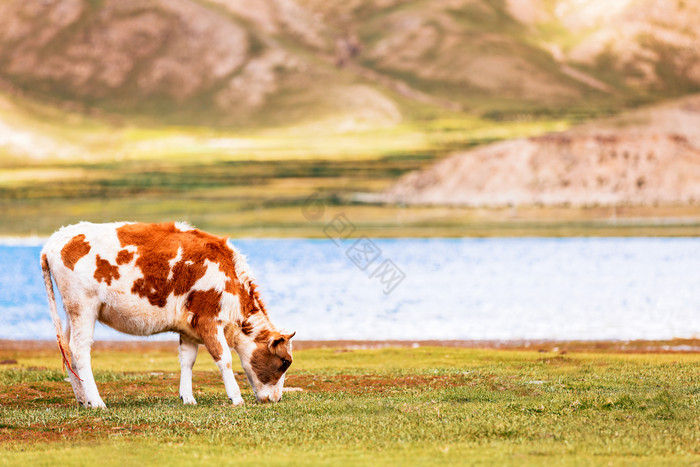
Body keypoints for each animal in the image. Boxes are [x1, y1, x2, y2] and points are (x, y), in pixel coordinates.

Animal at [41, 221, 292, 408]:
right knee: (80, 351)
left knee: (67, 349)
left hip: (72, 312)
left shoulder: (189, 327)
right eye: (284, 361)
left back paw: (83, 399)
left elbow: (187, 360)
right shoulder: (208, 319)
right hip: (83, 308)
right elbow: (225, 359)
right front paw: (236, 397)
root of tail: (55, 239)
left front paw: (188, 398)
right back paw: (96, 402)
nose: (277, 399)